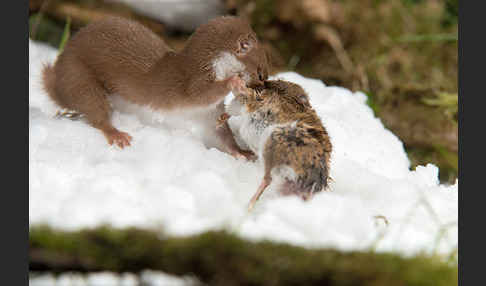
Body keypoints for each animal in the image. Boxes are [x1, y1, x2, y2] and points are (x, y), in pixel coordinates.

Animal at [41, 15, 270, 159]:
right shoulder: (190, 84)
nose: (265, 85)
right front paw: (234, 82)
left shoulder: (207, 113)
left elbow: (221, 134)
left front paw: (242, 152)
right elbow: (201, 93)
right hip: (79, 74)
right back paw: (116, 134)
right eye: (261, 72)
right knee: (93, 108)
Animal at [225, 77, 332, 211]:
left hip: (272, 142)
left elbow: (245, 94)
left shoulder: (255, 100)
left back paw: (249, 204)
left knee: (267, 179)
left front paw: (234, 80)